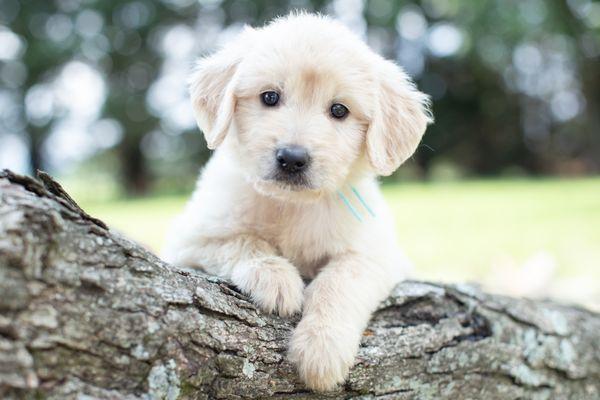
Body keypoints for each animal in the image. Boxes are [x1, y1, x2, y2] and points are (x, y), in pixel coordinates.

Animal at [163, 11, 432, 390]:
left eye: (339, 110)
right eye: (270, 97)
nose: (291, 158)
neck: (293, 206)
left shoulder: (376, 255)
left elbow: (339, 281)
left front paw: (322, 347)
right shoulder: (192, 238)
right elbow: (244, 242)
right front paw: (276, 278)